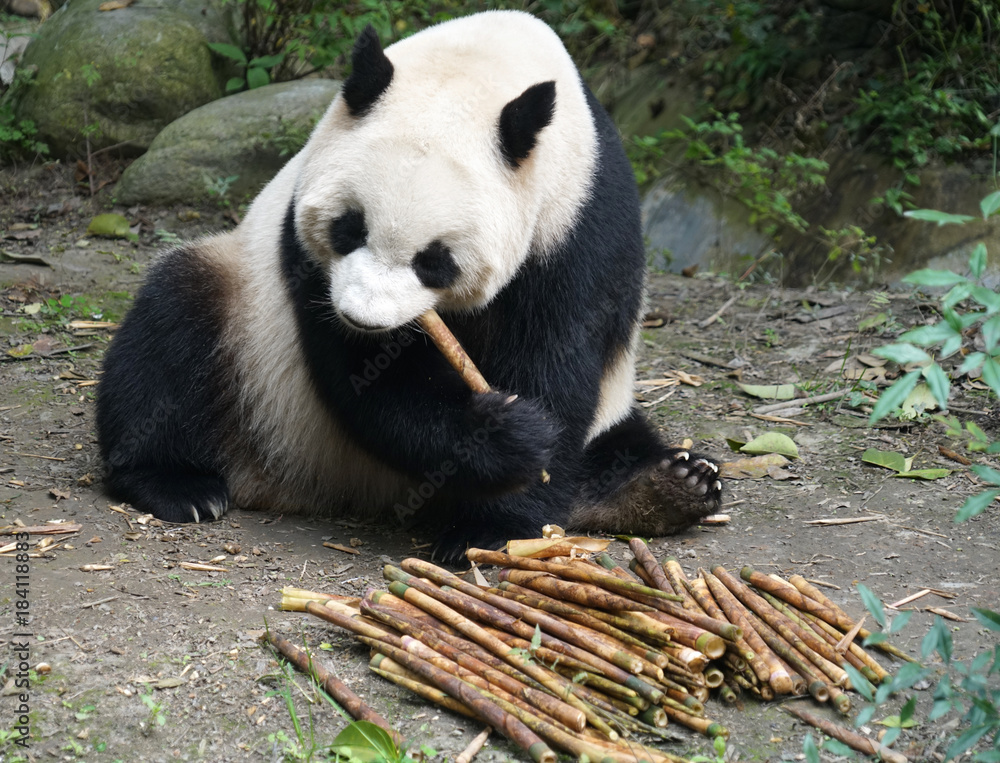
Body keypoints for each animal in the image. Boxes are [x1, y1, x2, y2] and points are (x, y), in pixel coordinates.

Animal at [96, 10, 722, 562]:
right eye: (349, 227)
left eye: (435, 262)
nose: (363, 318)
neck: (486, 63)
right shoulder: (300, 240)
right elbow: (370, 382)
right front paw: (508, 440)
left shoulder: (580, 220)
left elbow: (559, 357)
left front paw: (493, 526)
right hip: (246, 325)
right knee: (172, 324)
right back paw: (178, 484)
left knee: (621, 434)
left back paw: (668, 485)